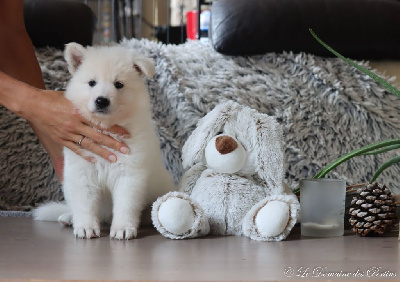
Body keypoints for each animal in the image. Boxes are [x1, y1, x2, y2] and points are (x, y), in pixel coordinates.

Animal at [35, 43, 175, 239]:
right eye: (92, 82)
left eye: (119, 84)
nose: (101, 101)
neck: (105, 128)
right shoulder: (82, 172)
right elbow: (84, 204)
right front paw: (85, 227)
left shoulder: (129, 174)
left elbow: (125, 204)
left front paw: (123, 228)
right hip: (68, 186)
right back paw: (69, 217)